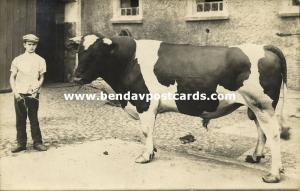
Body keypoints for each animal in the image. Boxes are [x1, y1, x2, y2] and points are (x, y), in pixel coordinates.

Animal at [68, 34, 290, 184]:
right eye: (79, 52)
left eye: (97, 54)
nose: (76, 76)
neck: (129, 62)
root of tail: (265, 47)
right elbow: (149, 131)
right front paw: (152, 151)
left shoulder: (145, 102)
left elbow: (145, 130)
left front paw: (145, 156)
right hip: (257, 106)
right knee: (261, 131)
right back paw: (256, 157)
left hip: (262, 105)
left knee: (273, 134)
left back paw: (273, 174)